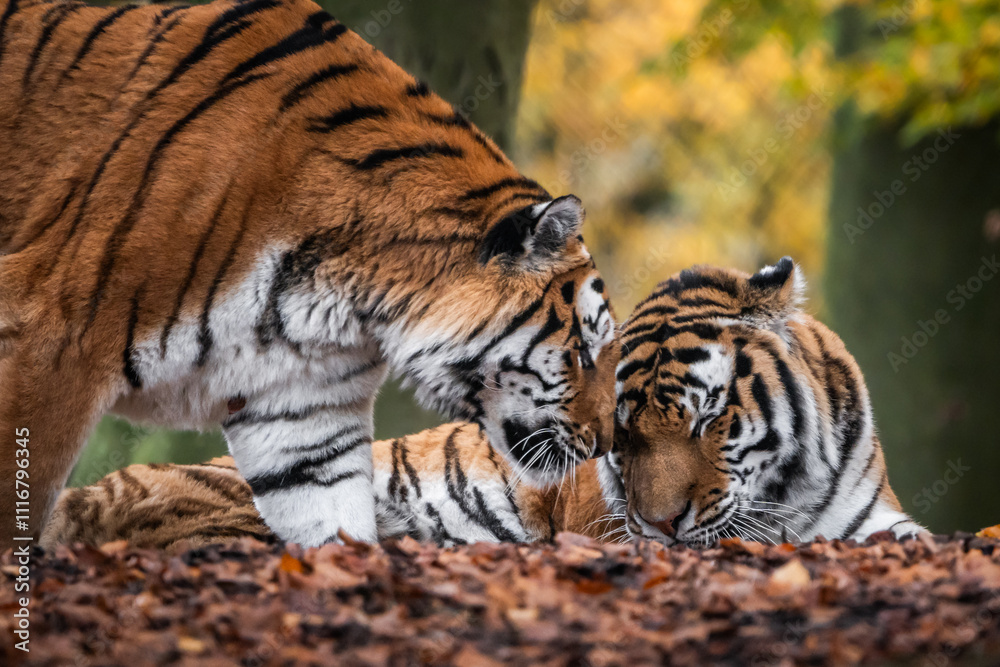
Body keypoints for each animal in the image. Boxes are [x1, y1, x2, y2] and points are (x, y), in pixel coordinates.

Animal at [0, 0, 619, 549]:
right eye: (582, 353)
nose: (605, 444)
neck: (354, 290)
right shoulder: (53, 339)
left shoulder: (304, 412)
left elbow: (334, 523)